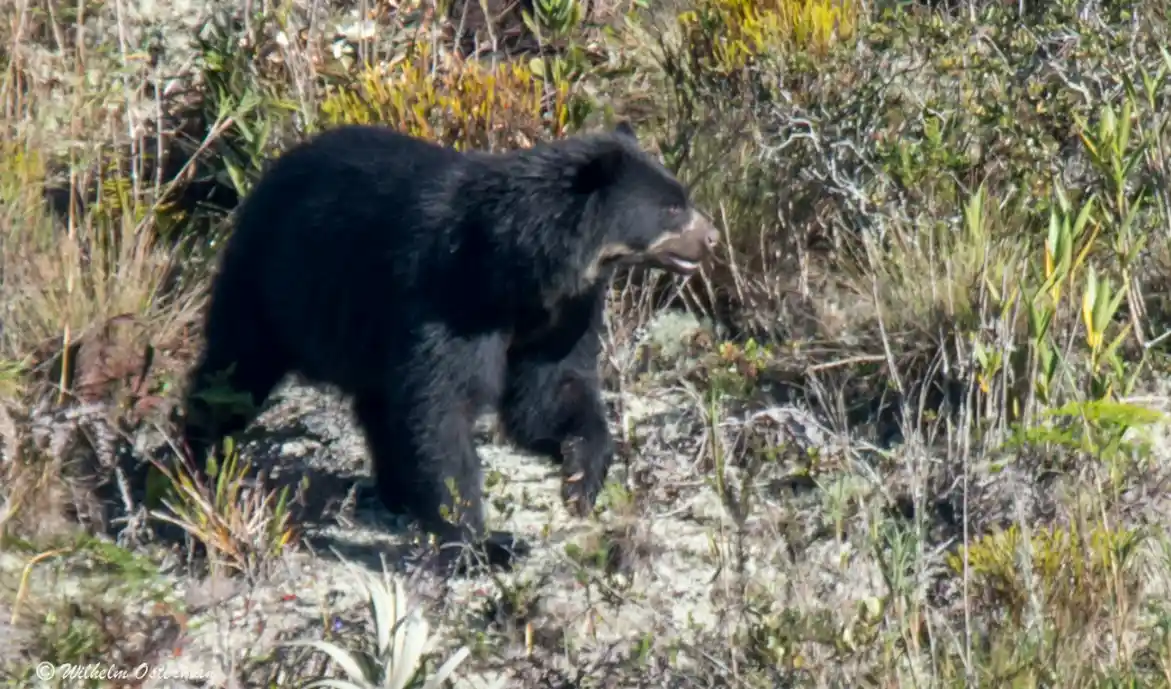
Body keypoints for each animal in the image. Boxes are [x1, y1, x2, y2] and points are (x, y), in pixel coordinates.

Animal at [177, 121, 718, 572]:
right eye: (672, 207)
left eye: (682, 196)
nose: (712, 238)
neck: (523, 269)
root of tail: (269, 173)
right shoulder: (448, 296)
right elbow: (444, 409)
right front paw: (484, 543)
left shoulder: (564, 312)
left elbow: (547, 392)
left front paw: (581, 476)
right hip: (272, 282)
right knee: (233, 372)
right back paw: (197, 462)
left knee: (377, 406)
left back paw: (395, 494)